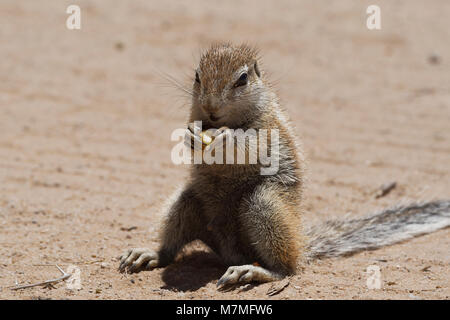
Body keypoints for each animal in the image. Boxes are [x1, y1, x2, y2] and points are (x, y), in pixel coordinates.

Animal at [119, 43, 450, 290]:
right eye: (197, 76)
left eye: (242, 79)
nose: (211, 108)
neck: (226, 120)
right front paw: (190, 135)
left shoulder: (267, 129)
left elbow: (251, 145)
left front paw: (225, 139)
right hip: (185, 202)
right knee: (171, 246)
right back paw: (148, 254)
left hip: (264, 205)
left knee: (286, 268)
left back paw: (253, 271)